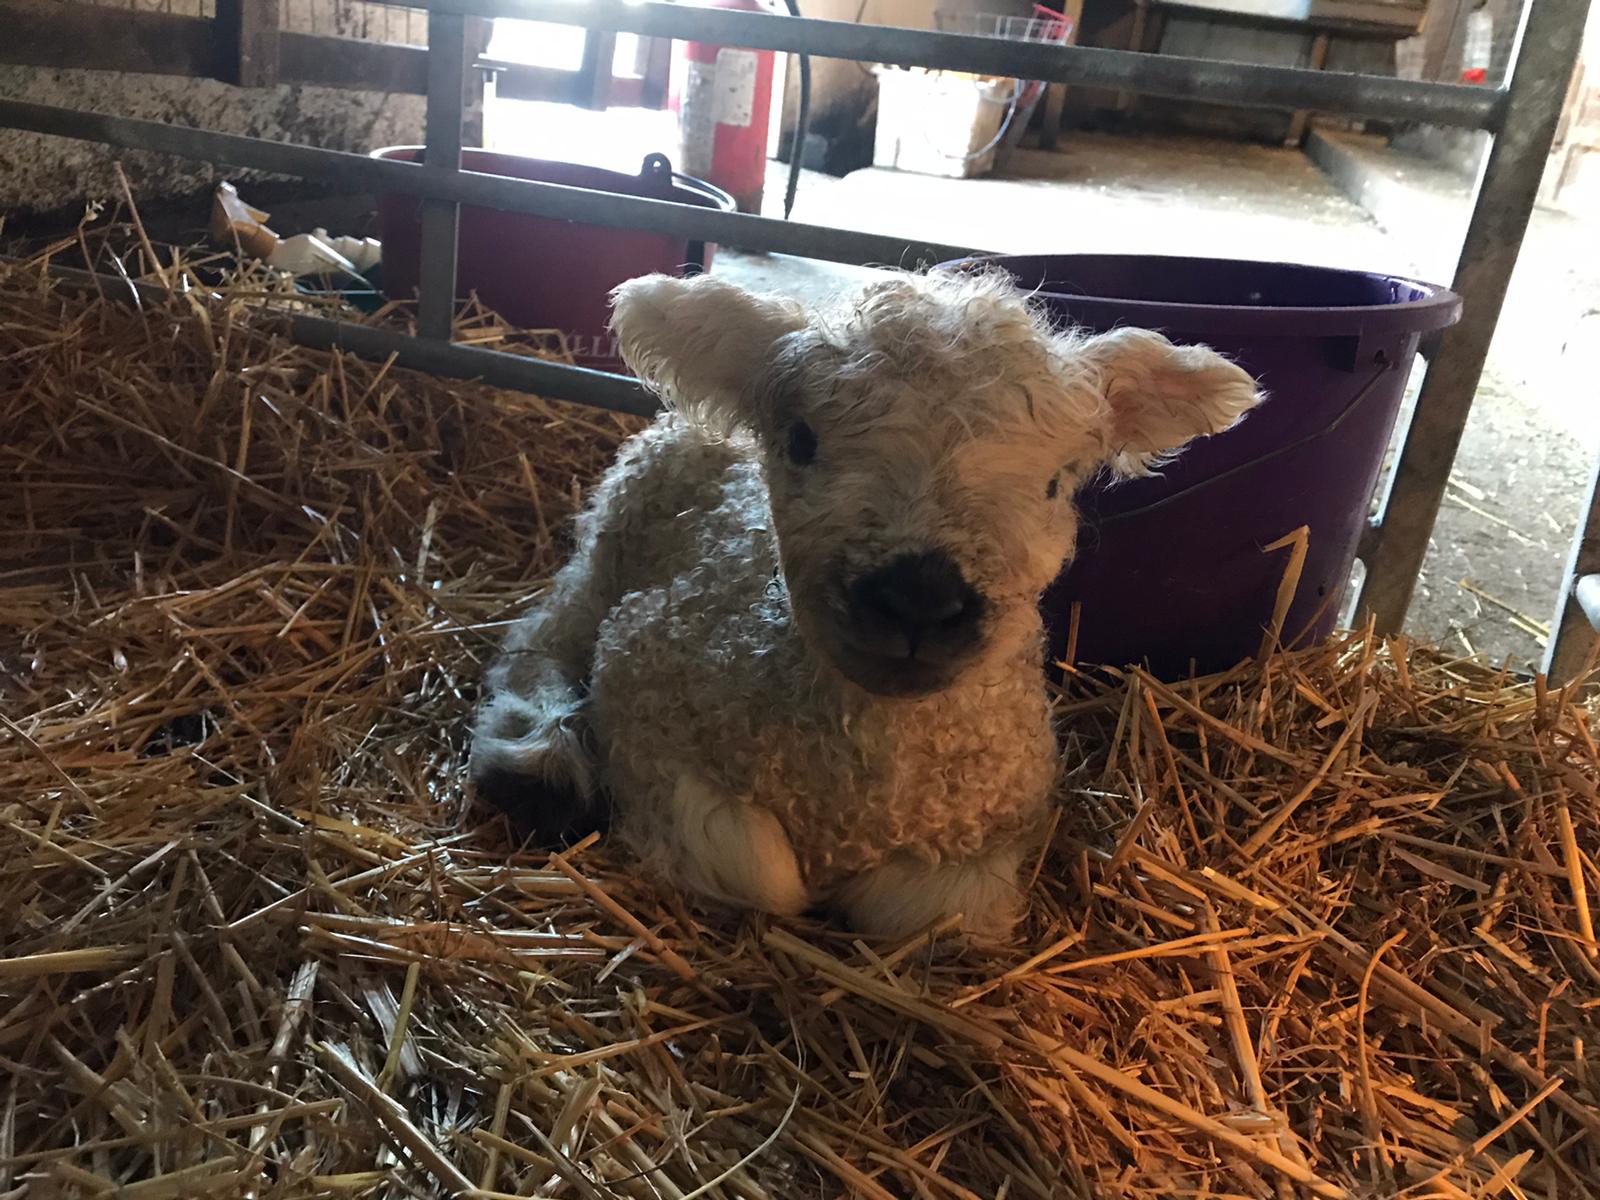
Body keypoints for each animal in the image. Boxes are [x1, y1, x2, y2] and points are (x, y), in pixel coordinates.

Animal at [470, 268, 1261, 939]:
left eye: (1056, 481)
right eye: (800, 441)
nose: (918, 598)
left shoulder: (998, 827)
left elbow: (908, 911)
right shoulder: (641, 674)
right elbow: (764, 874)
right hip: (617, 534)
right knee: (543, 636)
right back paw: (537, 756)